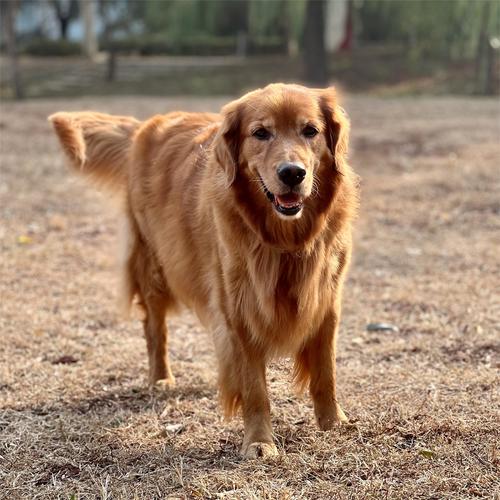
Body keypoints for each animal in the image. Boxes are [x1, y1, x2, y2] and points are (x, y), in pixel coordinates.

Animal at [48, 84, 358, 458]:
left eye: (310, 130)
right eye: (260, 133)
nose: (292, 173)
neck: (285, 239)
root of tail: (145, 127)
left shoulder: (327, 299)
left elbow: (326, 372)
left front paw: (333, 423)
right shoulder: (238, 308)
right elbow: (254, 388)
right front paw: (259, 441)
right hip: (154, 266)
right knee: (155, 329)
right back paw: (161, 378)